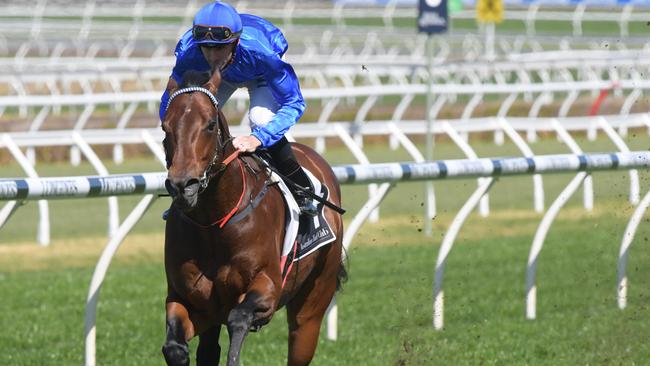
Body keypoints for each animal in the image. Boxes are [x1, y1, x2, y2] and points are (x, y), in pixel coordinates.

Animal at [160, 69, 344, 366]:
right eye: (166, 127)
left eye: (210, 125)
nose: (182, 186)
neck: (214, 222)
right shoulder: (188, 300)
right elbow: (175, 348)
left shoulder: (267, 287)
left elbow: (239, 317)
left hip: (313, 302)